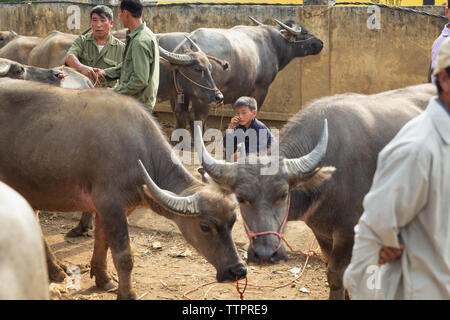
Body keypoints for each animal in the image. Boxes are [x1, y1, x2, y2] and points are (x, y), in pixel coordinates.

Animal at [0, 79, 246, 298]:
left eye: (233, 222)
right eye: (205, 227)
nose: (238, 270)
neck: (139, 152)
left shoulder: (107, 209)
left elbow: (102, 243)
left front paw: (103, 279)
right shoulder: (111, 206)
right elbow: (124, 257)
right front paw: (127, 293)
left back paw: (56, 269)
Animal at [158, 17, 324, 130]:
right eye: (304, 32)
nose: (320, 43)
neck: (273, 44)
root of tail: (188, 43)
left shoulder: (238, 91)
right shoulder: (261, 89)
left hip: (179, 93)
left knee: (180, 114)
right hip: (204, 96)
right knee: (196, 117)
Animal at [197, 83, 436, 300]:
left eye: (283, 194)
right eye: (241, 198)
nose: (265, 254)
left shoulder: (349, 231)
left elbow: (338, 273)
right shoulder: (321, 231)